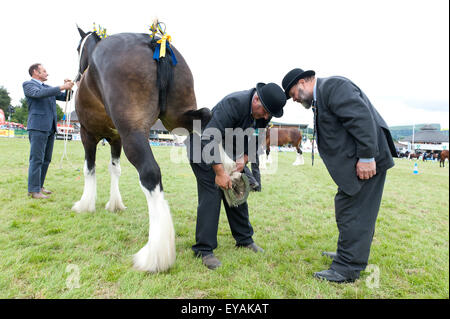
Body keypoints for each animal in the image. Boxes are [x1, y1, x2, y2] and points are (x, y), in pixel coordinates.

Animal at [74, 26, 213, 274]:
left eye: (77, 49)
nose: (77, 77)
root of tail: (154, 41)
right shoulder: (115, 138)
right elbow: (114, 170)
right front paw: (115, 204)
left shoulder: (87, 134)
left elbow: (89, 169)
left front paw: (85, 204)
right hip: (176, 118)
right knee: (205, 117)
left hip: (134, 132)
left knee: (150, 174)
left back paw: (155, 255)